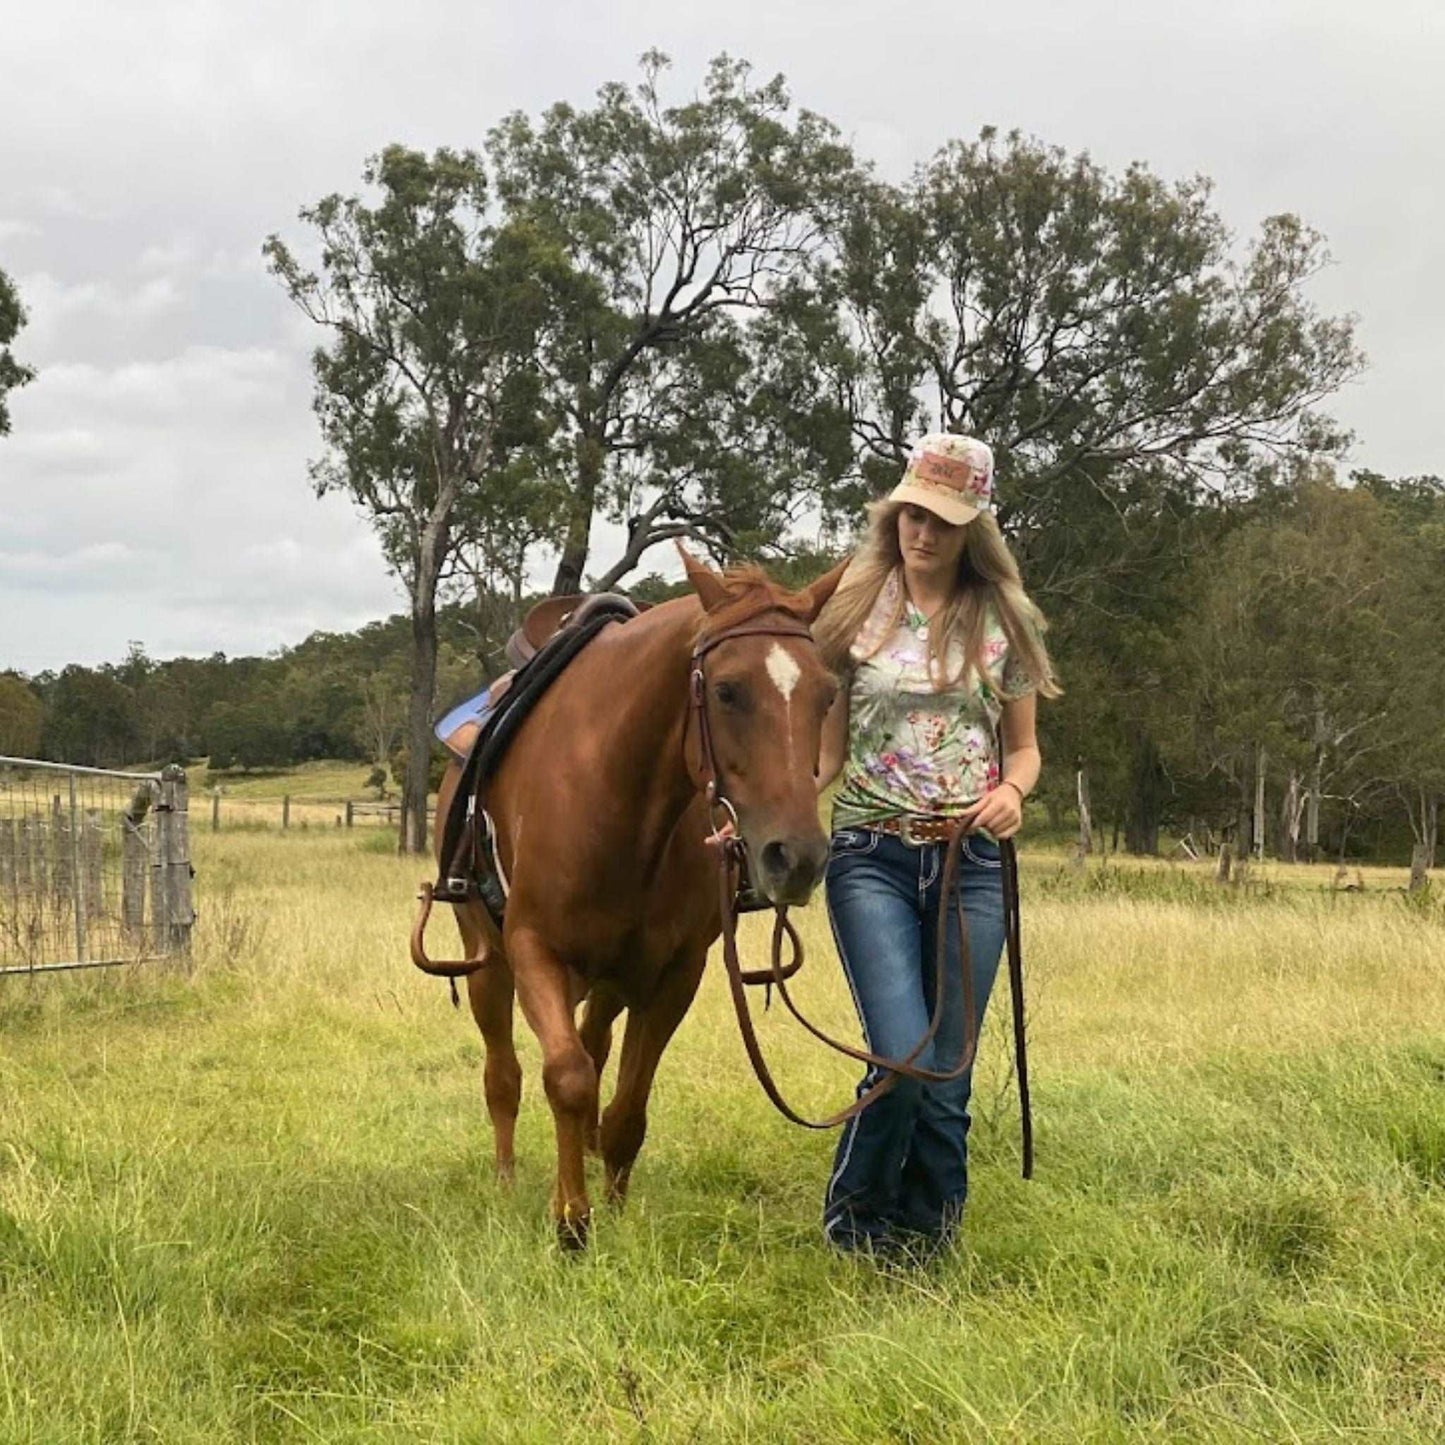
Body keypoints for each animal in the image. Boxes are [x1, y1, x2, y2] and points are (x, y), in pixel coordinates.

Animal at [427, 546, 843, 1248]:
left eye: (827, 693)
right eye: (727, 690)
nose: (797, 857)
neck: (617, 794)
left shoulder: (675, 973)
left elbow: (627, 1103)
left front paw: (613, 1210)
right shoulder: (536, 953)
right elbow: (565, 1078)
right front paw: (571, 1222)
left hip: (613, 978)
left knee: (593, 1048)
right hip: (487, 961)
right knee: (505, 1075)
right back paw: (507, 1179)